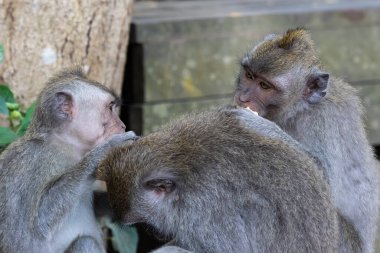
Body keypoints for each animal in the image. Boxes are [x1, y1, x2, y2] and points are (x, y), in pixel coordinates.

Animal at [0, 67, 137, 253]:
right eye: (110, 108)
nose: (123, 125)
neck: (66, 146)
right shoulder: (32, 164)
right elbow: (37, 225)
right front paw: (104, 151)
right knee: (85, 242)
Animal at [235, 27, 380, 253]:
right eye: (249, 76)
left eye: (265, 86)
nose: (242, 98)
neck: (298, 110)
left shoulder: (323, 119)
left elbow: (321, 179)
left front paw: (258, 125)